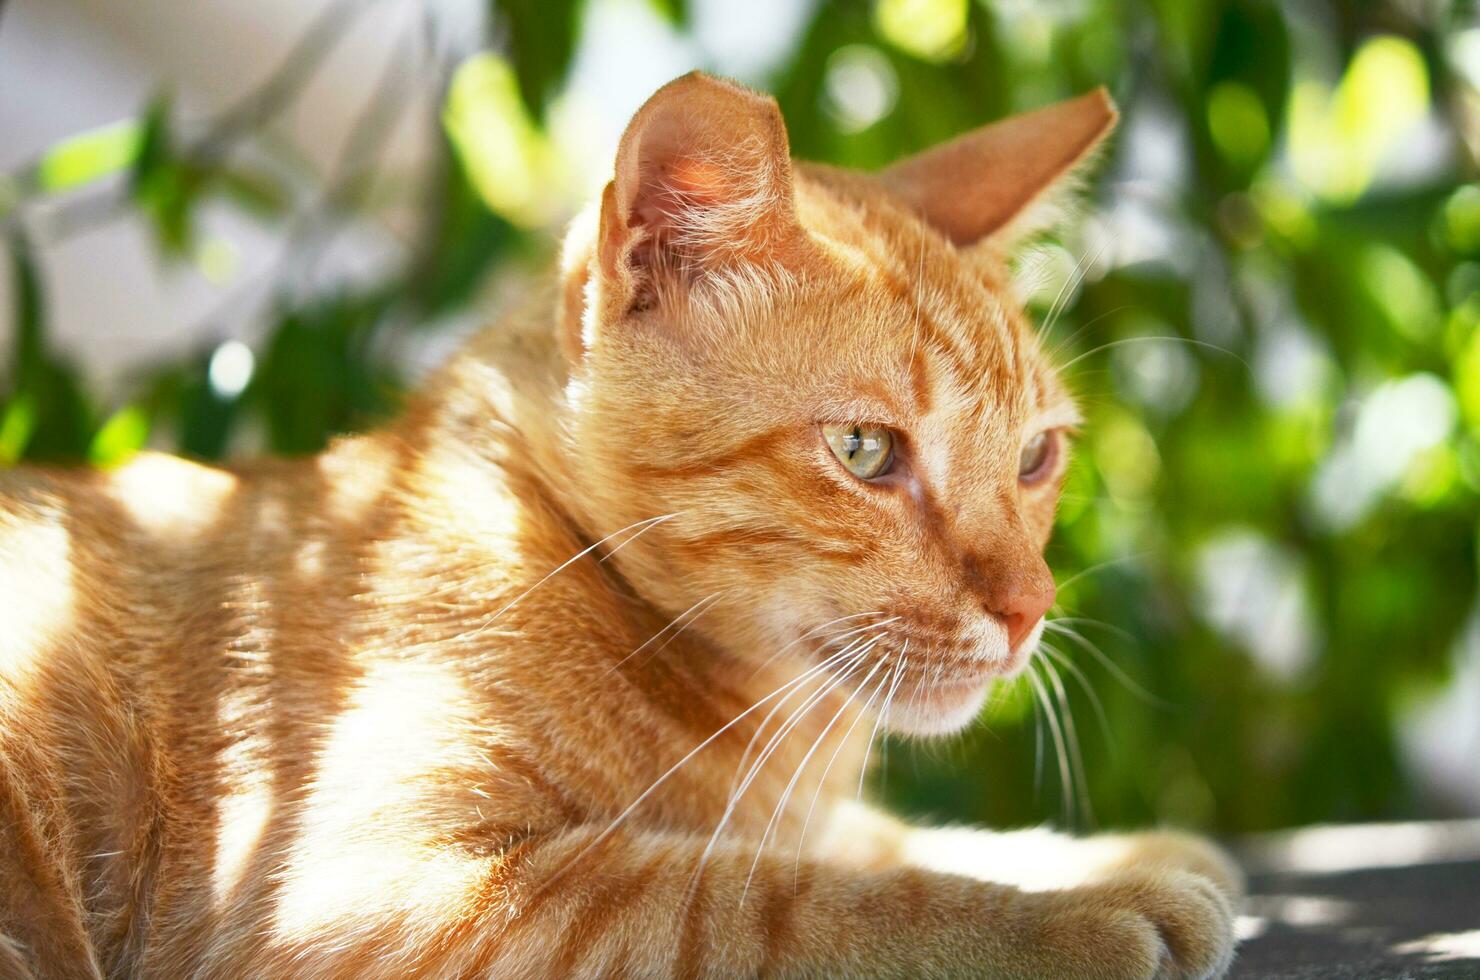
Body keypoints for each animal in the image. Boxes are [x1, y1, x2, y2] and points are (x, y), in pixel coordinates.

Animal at [0, 72, 1243, 977]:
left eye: (1036, 456)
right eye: (864, 451)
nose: (1031, 608)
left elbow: (871, 839)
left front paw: (1099, 854)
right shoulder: (370, 895)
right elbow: (768, 899)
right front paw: (1081, 910)